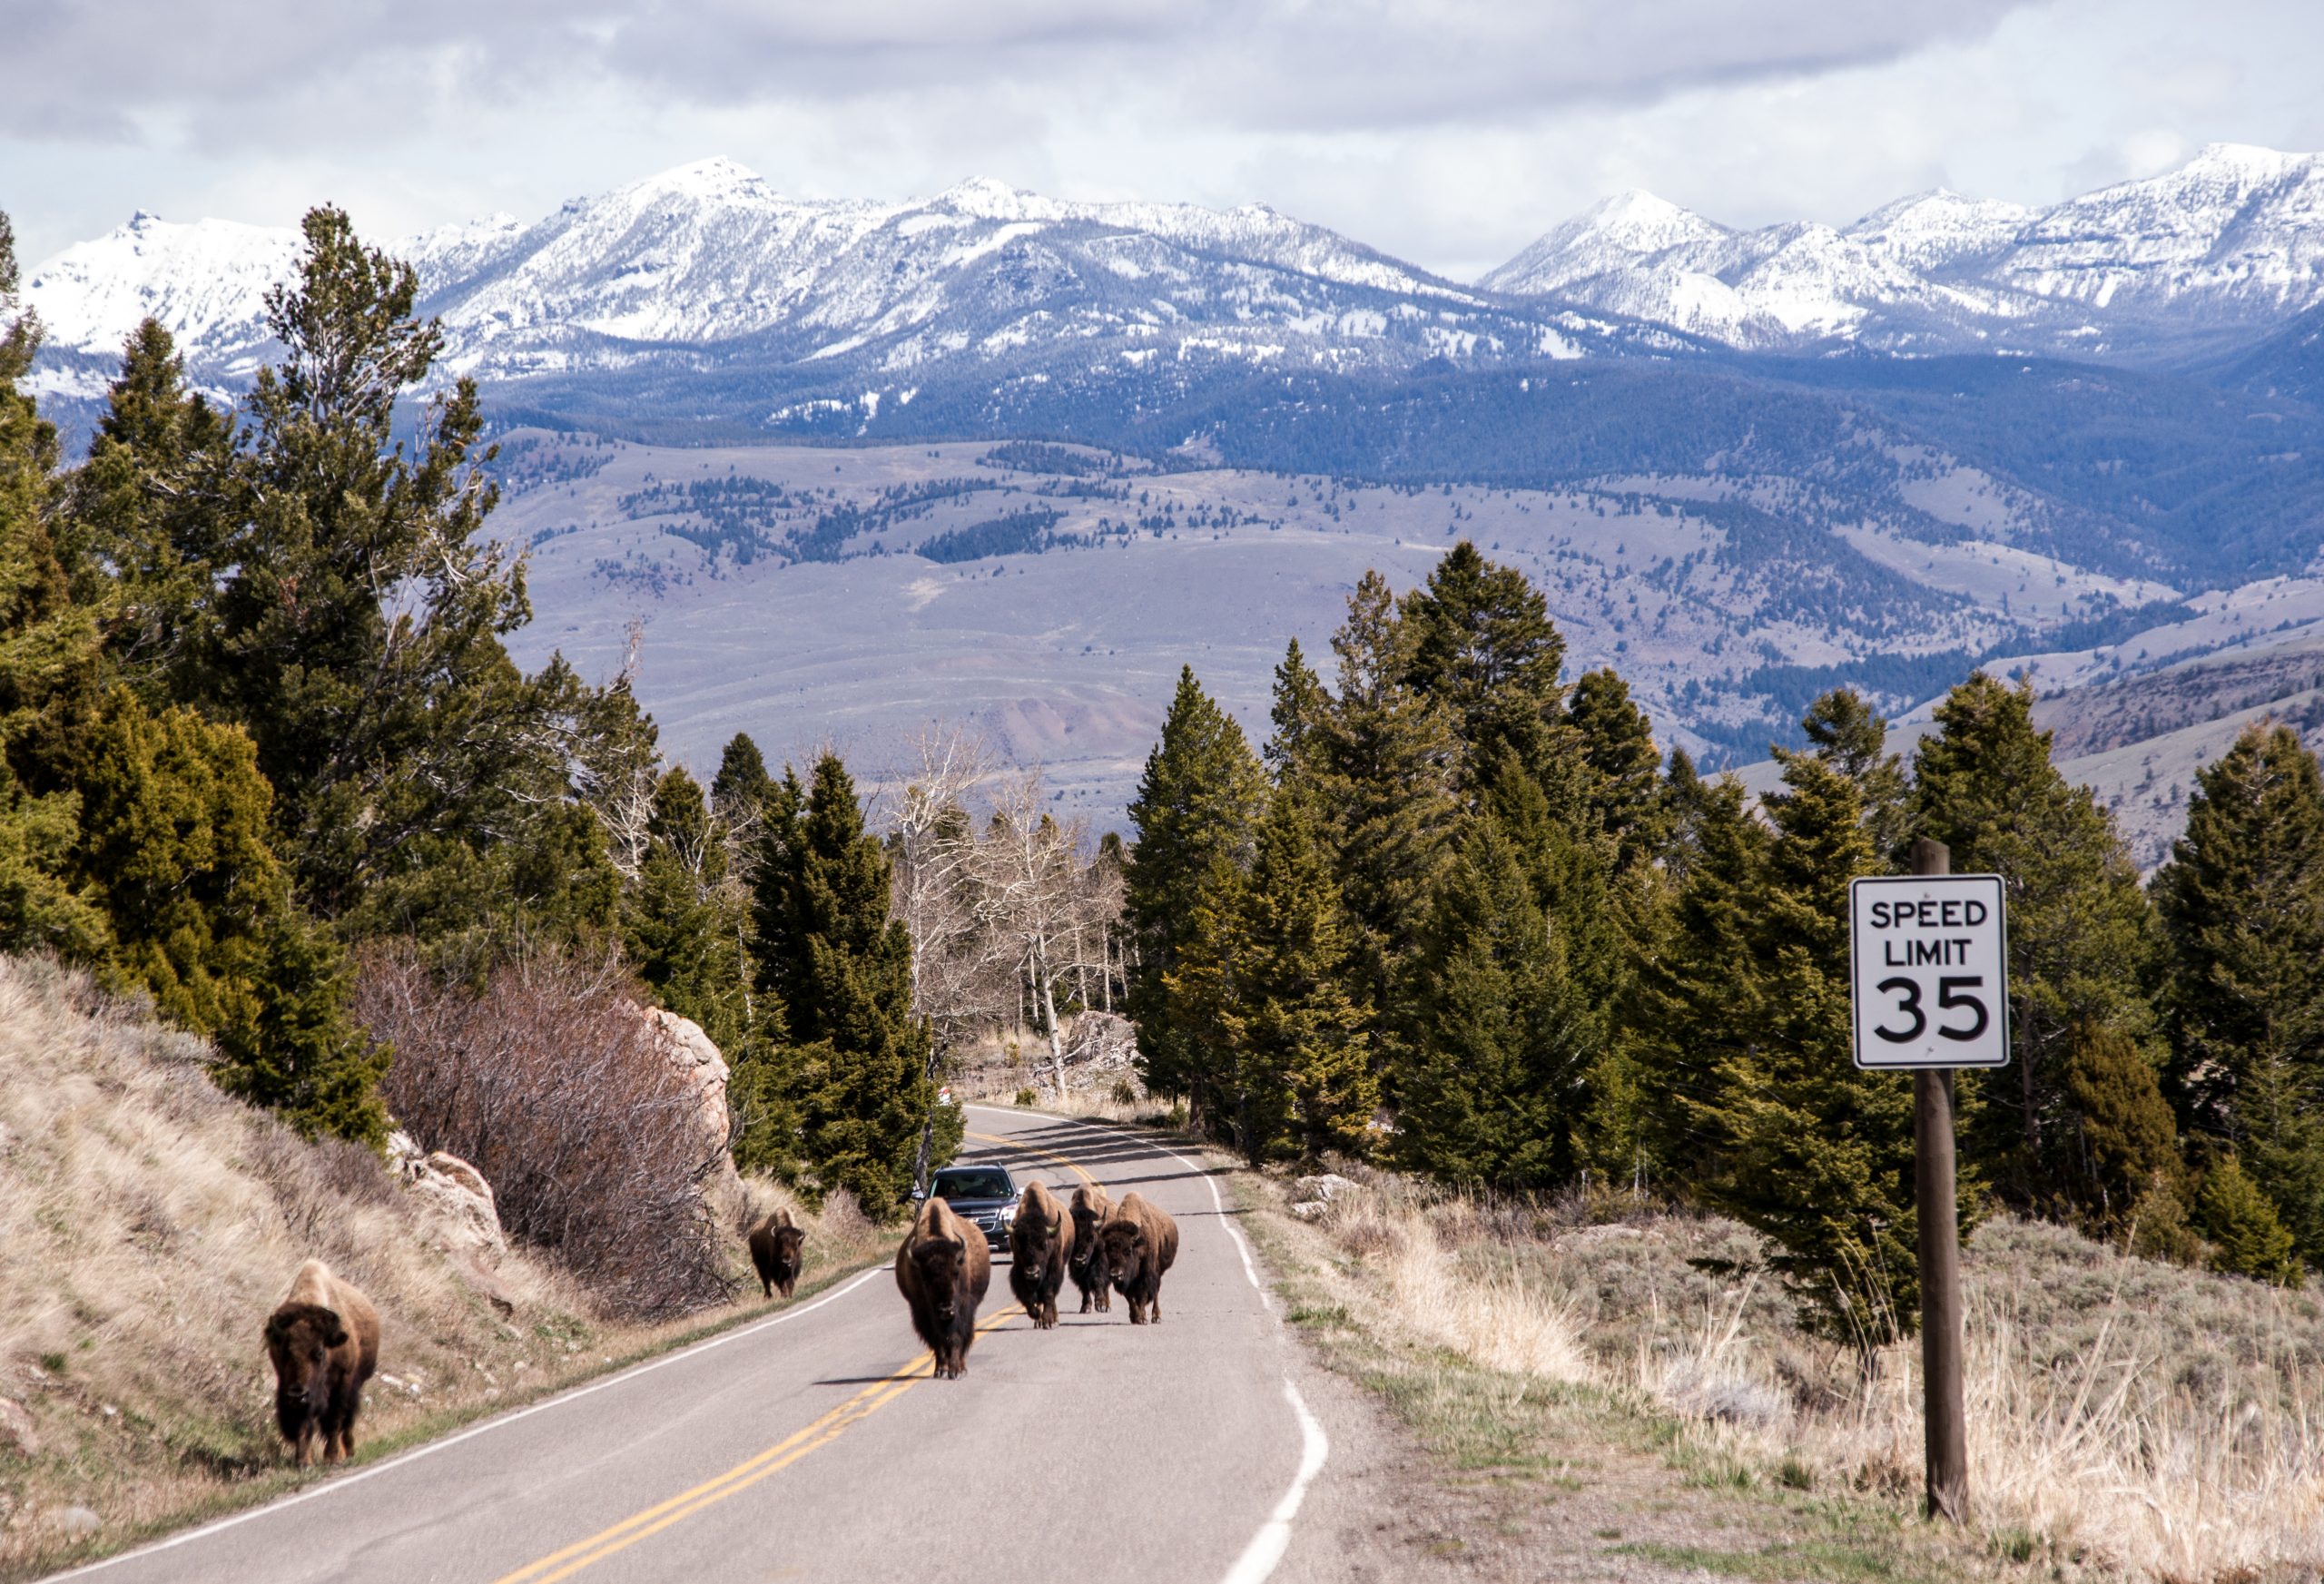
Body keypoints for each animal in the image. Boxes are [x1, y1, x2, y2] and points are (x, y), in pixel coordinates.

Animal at [263, 1259, 380, 1467]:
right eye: (284, 1352)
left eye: (318, 1352)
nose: (297, 1394)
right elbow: (304, 1425)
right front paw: (304, 1462)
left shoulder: (342, 1383)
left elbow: (334, 1421)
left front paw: (332, 1458)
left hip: (356, 1383)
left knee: (347, 1419)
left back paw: (347, 1451)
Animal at [895, 1197, 992, 1379]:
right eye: (925, 1278)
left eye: (956, 1273)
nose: (946, 1309)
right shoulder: (923, 1311)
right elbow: (938, 1340)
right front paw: (941, 1370)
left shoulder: (962, 1308)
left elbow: (956, 1337)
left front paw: (956, 1371)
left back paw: (961, 1367)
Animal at [1007, 1181, 1074, 1330]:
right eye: (1019, 1245)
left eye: (1044, 1244)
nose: (1032, 1273)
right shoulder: (1019, 1269)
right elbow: (1027, 1295)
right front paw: (1036, 1315)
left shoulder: (1054, 1268)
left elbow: (1048, 1293)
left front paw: (1048, 1321)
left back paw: (1053, 1320)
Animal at [1066, 1183, 1113, 1314]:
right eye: (1073, 1238)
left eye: (1091, 1238)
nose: (1080, 1259)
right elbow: (1084, 1286)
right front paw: (1086, 1307)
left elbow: (1098, 1280)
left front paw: (1100, 1305)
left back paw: (1107, 1306)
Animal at [1098, 1192, 1180, 1325]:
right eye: (1108, 1251)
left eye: (1128, 1250)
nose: (1115, 1275)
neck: (1138, 1244)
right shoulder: (1127, 1281)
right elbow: (1130, 1297)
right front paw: (1135, 1317)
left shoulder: (1146, 1275)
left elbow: (1143, 1295)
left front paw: (1142, 1318)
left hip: (1158, 1271)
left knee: (1156, 1292)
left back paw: (1156, 1317)